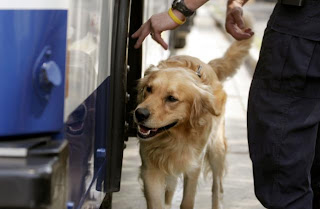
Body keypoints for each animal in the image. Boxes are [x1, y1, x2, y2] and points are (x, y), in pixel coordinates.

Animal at [134, 30, 252, 209]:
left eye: (172, 98)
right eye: (149, 89)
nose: (139, 113)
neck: (173, 137)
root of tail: (209, 65)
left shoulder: (193, 164)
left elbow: (188, 201)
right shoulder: (150, 169)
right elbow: (157, 202)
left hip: (216, 150)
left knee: (217, 188)